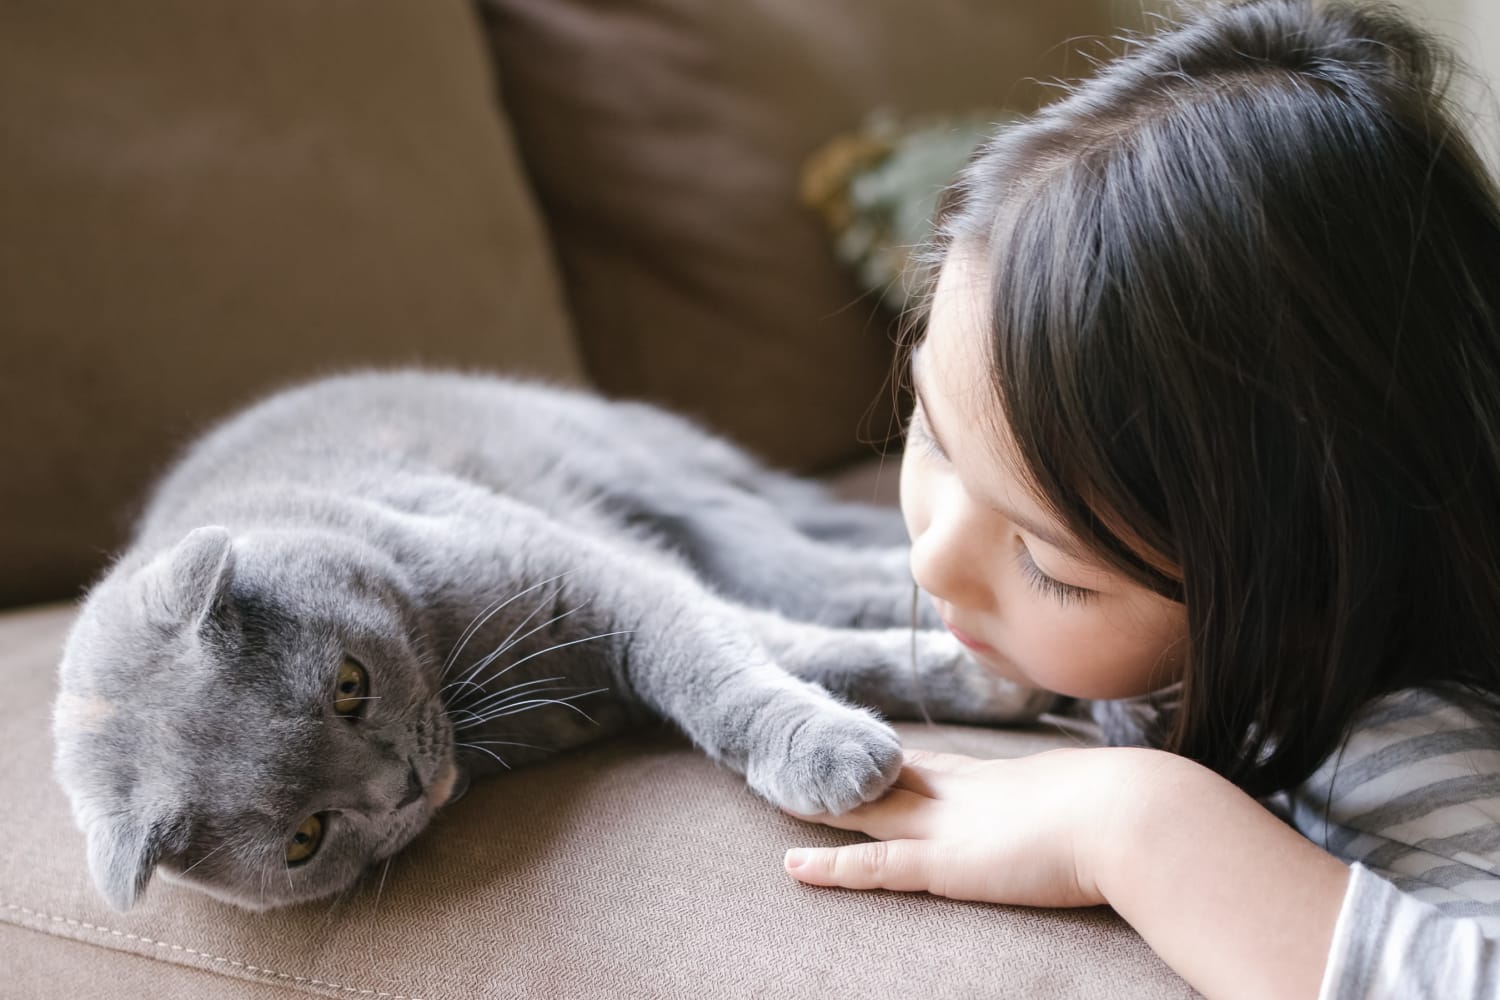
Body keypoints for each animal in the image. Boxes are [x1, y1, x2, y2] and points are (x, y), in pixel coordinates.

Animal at [49, 370, 1056, 917]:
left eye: (348, 684)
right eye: (305, 838)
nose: (405, 787)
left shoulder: (597, 575)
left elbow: (723, 670)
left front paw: (840, 747)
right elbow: (784, 650)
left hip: (683, 489)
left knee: (826, 566)